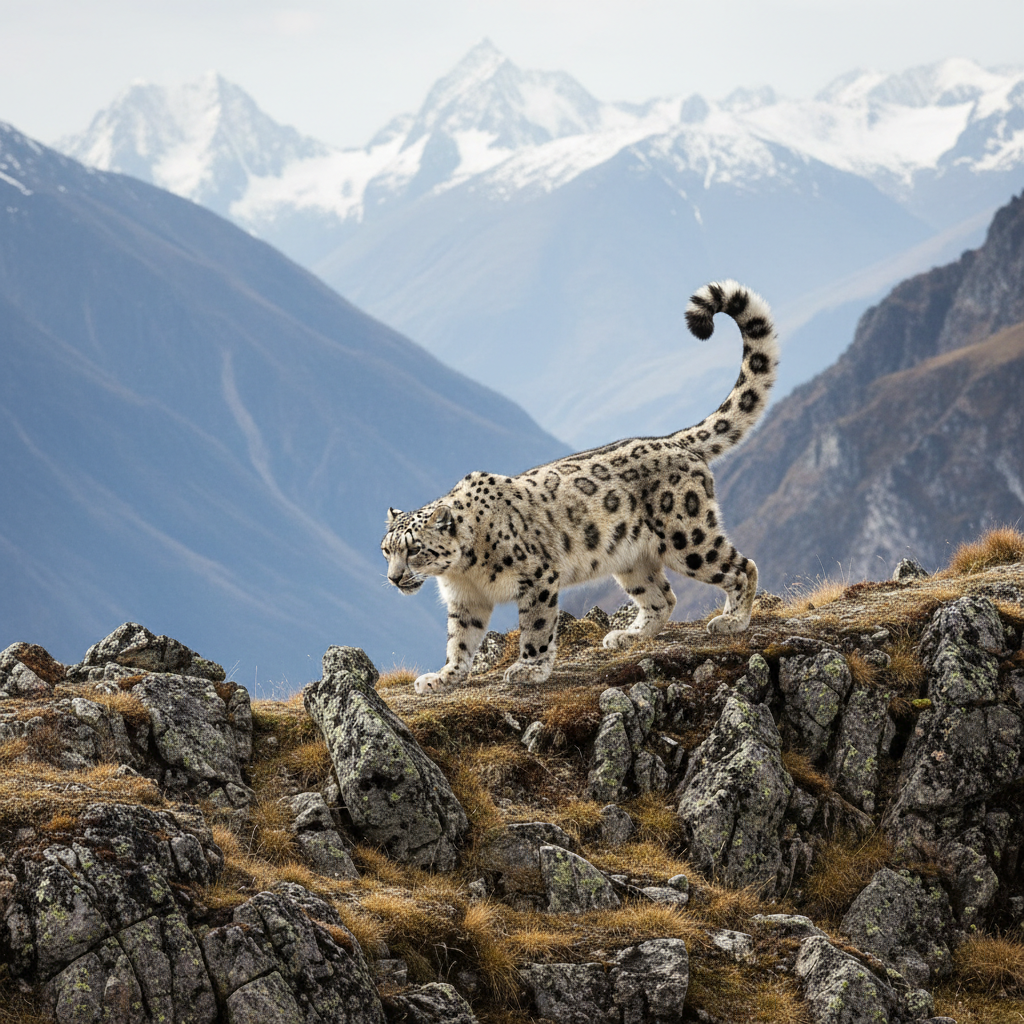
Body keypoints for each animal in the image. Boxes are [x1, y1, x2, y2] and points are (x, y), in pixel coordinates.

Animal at [381, 279, 778, 695]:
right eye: (386, 550)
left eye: (414, 550)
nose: (394, 578)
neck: (462, 570)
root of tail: (673, 441)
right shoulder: (465, 599)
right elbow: (460, 639)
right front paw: (443, 678)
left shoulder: (537, 577)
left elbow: (536, 625)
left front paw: (529, 669)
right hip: (632, 559)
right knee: (661, 596)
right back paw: (628, 635)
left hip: (689, 538)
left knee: (741, 566)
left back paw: (732, 620)